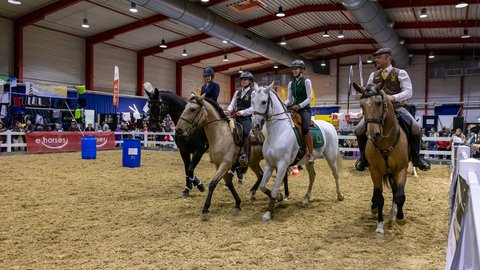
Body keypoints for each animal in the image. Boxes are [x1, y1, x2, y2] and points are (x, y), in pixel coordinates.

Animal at [253, 83, 344, 224]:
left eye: (263, 101)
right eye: (253, 102)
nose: (256, 126)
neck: (278, 132)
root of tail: (330, 126)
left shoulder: (282, 165)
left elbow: (274, 189)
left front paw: (268, 213)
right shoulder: (269, 164)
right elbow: (262, 186)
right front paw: (280, 197)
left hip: (331, 157)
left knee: (335, 175)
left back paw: (339, 195)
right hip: (308, 161)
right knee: (312, 176)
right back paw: (306, 199)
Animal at [352, 81, 408, 234]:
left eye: (378, 103)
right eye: (361, 105)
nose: (373, 135)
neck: (385, 143)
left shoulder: (401, 169)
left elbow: (399, 195)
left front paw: (400, 218)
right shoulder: (375, 171)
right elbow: (379, 197)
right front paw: (379, 225)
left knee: (395, 191)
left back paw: (393, 214)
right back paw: (375, 207)